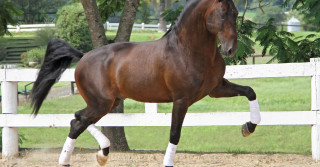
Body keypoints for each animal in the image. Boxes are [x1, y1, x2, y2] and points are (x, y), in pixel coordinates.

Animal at [30, 0, 260, 166]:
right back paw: (76, 159)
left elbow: (250, 91)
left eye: (236, 13)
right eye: (222, 13)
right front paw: (168, 163)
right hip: (101, 103)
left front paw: (248, 127)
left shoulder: (215, 89)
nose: (230, 49)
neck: (188, 50)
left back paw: (101, 154)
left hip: (110, 102)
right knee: (78, 121)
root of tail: (83, 56)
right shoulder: (181, 100)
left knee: (77, 120)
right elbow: (174, 133)